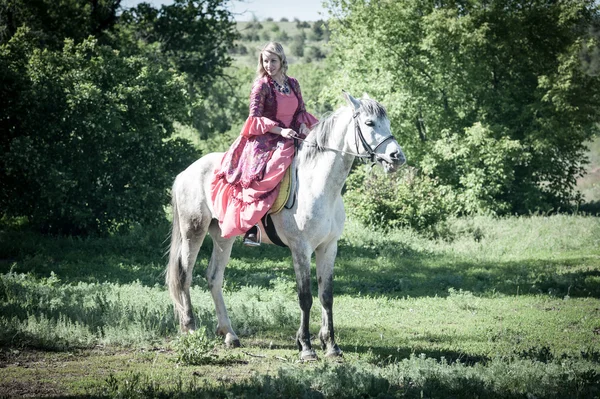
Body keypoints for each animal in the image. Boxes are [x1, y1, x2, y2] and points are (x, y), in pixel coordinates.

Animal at [166, 92, 406, 360]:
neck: (319, 185)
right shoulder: (301, 249)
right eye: (369, 123)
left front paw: (331, 346)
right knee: (184, 275)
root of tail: (186, 173)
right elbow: (305, 297)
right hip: (193, 231)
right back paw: (190, 329)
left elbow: (326, 296)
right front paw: (306, 347)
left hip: (223, 236)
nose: (397, 157)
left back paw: (229, 334)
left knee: (214, 278)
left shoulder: (328, 247)